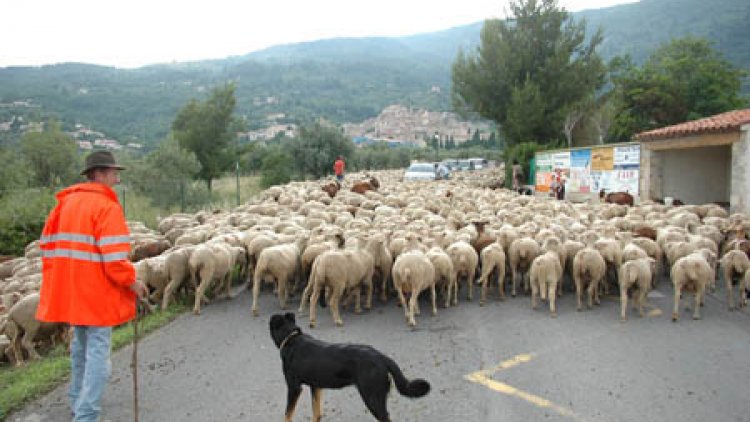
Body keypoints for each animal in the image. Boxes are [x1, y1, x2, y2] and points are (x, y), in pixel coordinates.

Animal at [269, 312, 430, 421]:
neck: (292, 339)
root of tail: (381, 357)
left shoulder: (294, 388)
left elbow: (287, 414)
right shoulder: (315, 386)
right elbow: (316, 412)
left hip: (373, 399)